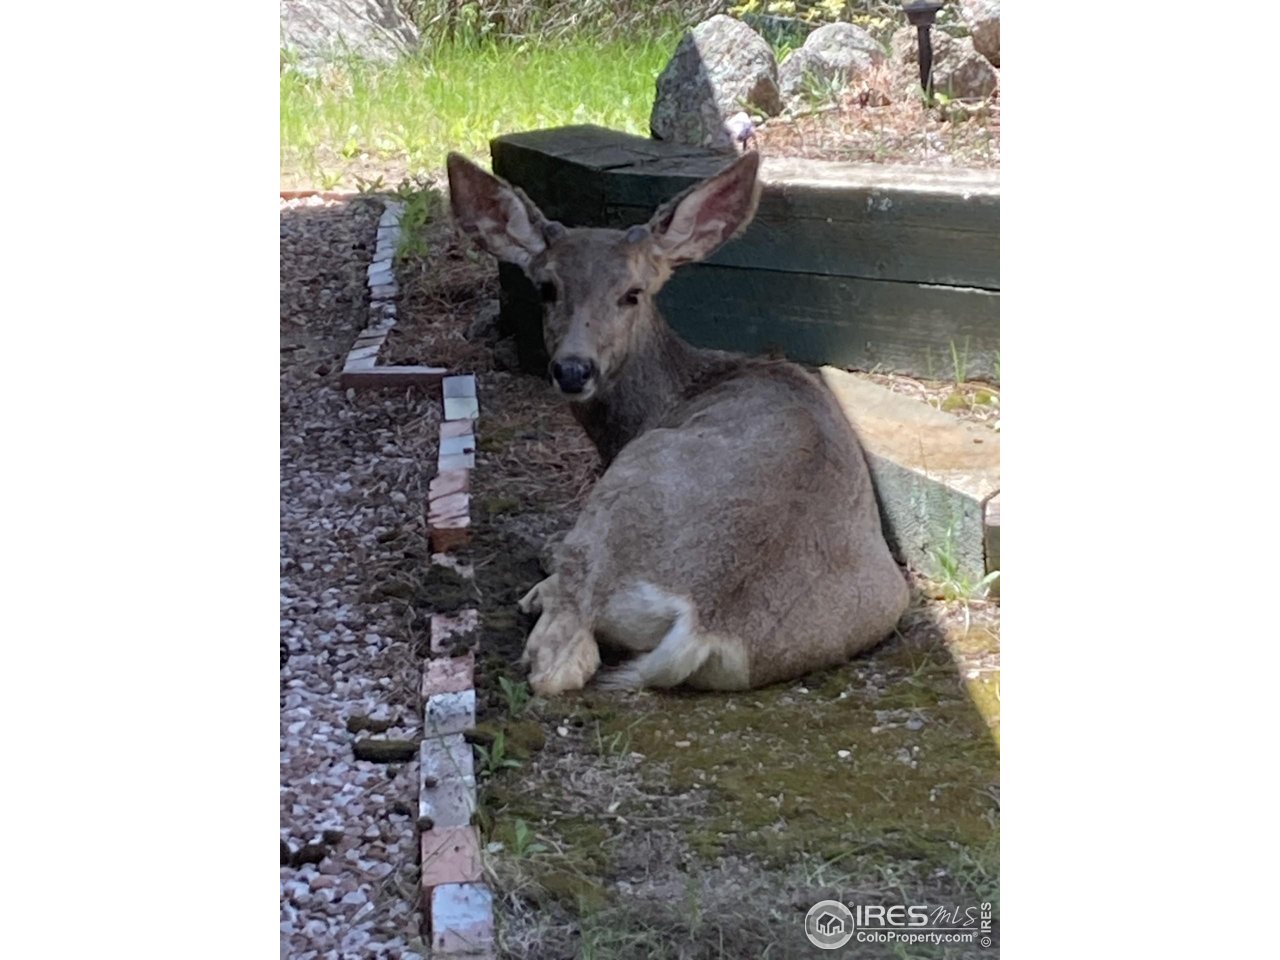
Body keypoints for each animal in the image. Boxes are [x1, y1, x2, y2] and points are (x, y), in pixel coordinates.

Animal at [446, 150, 909, 695]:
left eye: (633, 292)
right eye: (547, 288)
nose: (573, 369)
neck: (675, 391)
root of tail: (704, 623)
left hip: (630, 478)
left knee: (561, 658)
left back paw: (543, 587)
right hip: (887, 597)